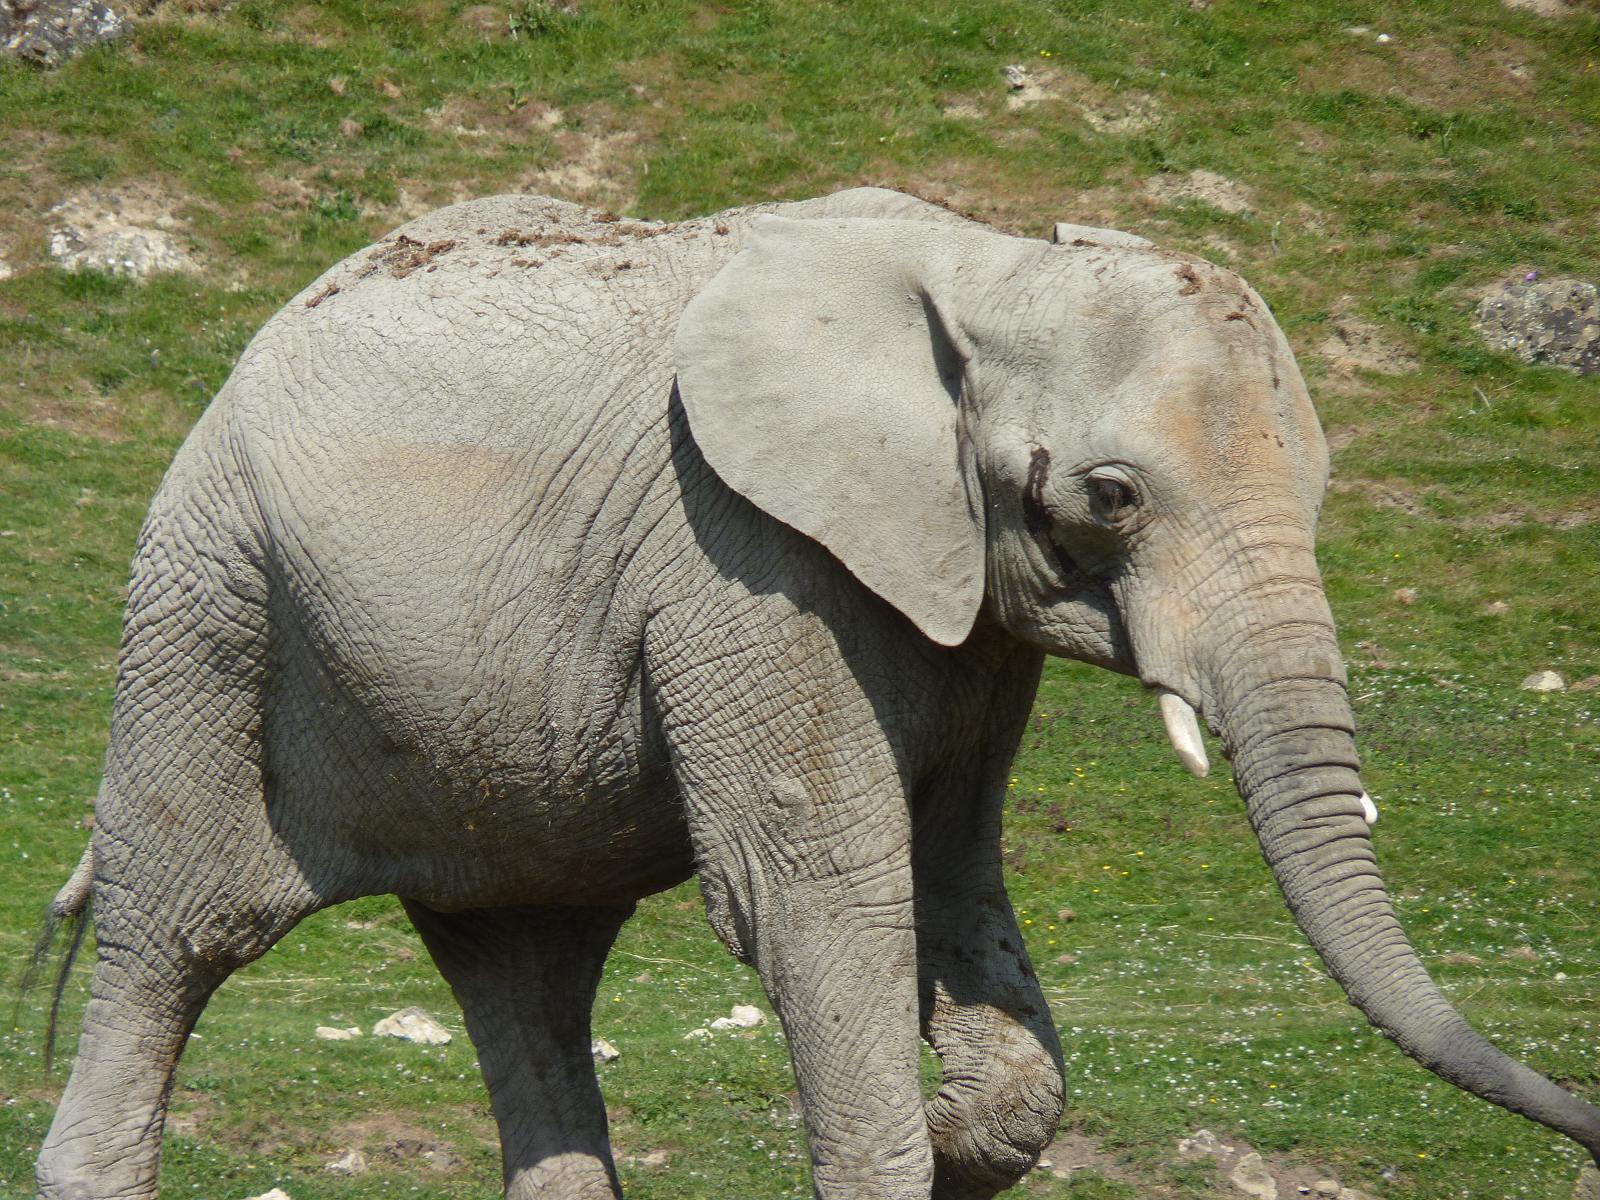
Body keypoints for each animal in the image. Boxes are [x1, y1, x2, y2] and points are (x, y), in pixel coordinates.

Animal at [34, 185, 1600, 1199]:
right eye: (1113, 495)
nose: (1583, 1126)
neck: (986, 264)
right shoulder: (744, 556)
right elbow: (811, 898)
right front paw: (916, 1100)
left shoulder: (959, 607)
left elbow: (952, 878)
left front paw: (966, 1100)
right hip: (205, 606)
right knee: (177, 934)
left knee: (529, 974)